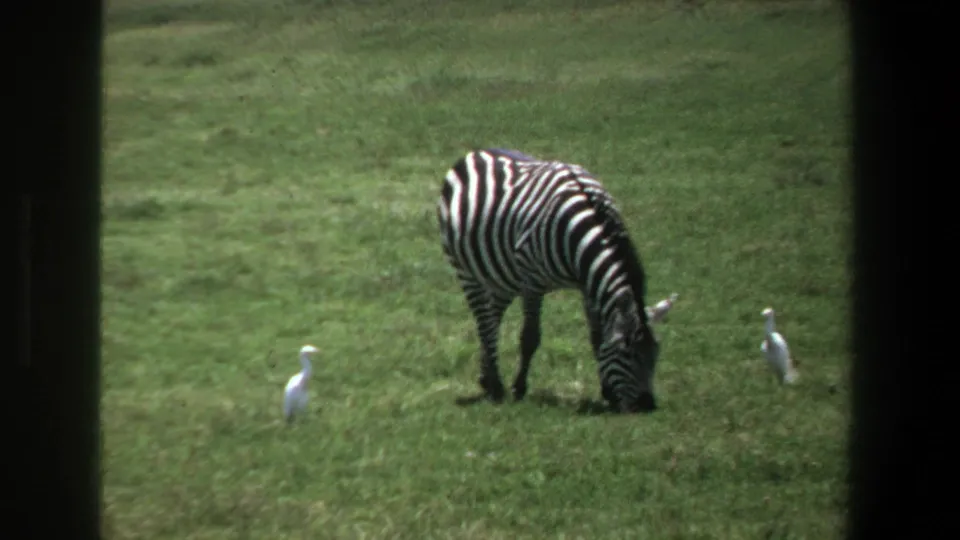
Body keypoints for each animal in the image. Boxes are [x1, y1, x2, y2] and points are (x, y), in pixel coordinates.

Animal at [436, 148, 661, 413]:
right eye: (628, 353)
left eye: (656, 354)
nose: (647, 405)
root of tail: (477, 152)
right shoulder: (533, 281)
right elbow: (530, 337)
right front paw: (519, 388)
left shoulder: (587, 286)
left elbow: (597, 336)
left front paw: (607, 391)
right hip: (467, 271)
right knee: (484, 322)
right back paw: (496, 386)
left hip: (503, 275)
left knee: (493, 317)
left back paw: (486, 377)